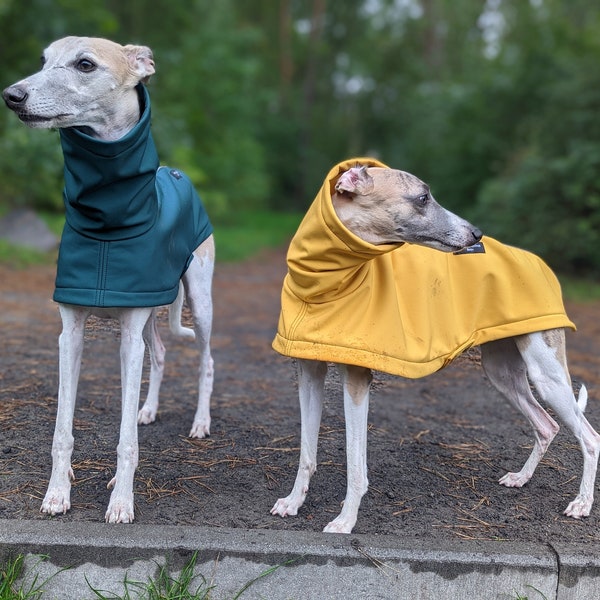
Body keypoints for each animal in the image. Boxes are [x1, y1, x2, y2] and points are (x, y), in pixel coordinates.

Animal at [1, 37, 213, 524]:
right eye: (43, 60)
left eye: (84, 64)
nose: (12, 95)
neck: (107, 216)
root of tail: (175, 173)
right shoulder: (71, 333)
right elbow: (62, 429)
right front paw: (56, 493)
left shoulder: (129, 335)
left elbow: (125, 443)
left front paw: (121, 503)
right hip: (151, 314)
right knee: (160, 353)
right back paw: (147, 410)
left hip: (200, 302)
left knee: (207, 359)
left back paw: (200, 423)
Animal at [272, 162, 600, 532]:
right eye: (423, 198)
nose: (476, 234)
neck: (324, 285)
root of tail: (540, 263)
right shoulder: (308, 373)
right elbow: (306, 451)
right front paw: (293, 502)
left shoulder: (357, 379)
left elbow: (356, 464)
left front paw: (345, 521)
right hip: (502, 372)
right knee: (547, 425)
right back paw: (521, 477)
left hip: (547, 373)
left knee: (590, 437)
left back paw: (582, 503)